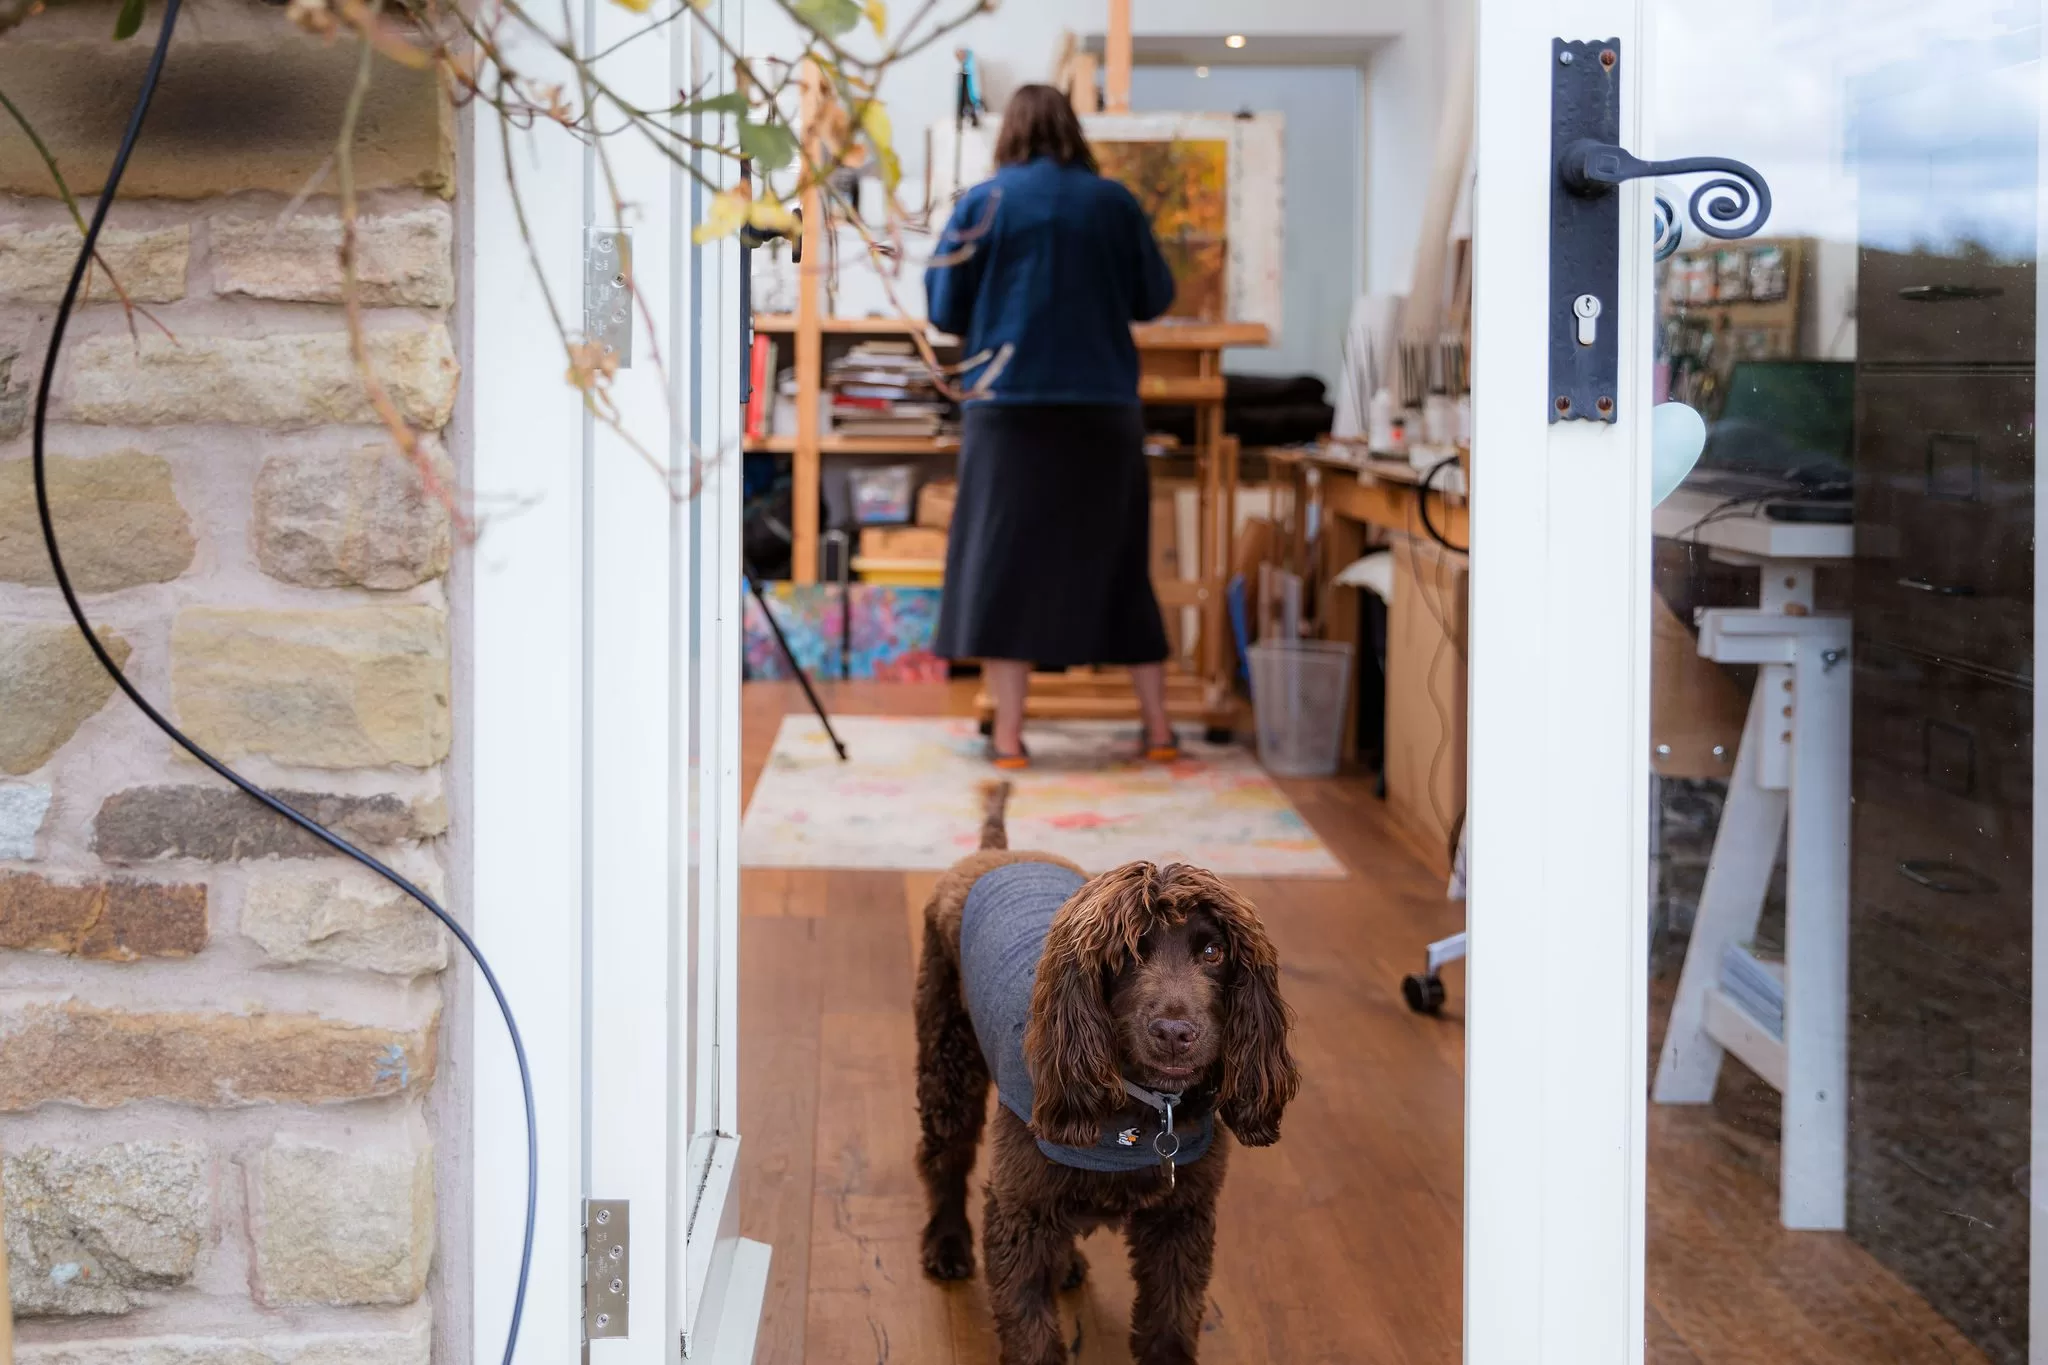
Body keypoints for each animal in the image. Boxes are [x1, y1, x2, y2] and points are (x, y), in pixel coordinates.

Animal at [913, 777, 1294, 1365]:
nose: (1174, 1032)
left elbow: (1170, 1318)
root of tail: (996, 853)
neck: (1143, 1109)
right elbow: (1030, 1329)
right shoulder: (1020, 1211)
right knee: (946, 1158)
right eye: (1128, 953)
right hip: (947, 1055)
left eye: (1213, 951)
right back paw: (947, 1241)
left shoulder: (1182, 1217)